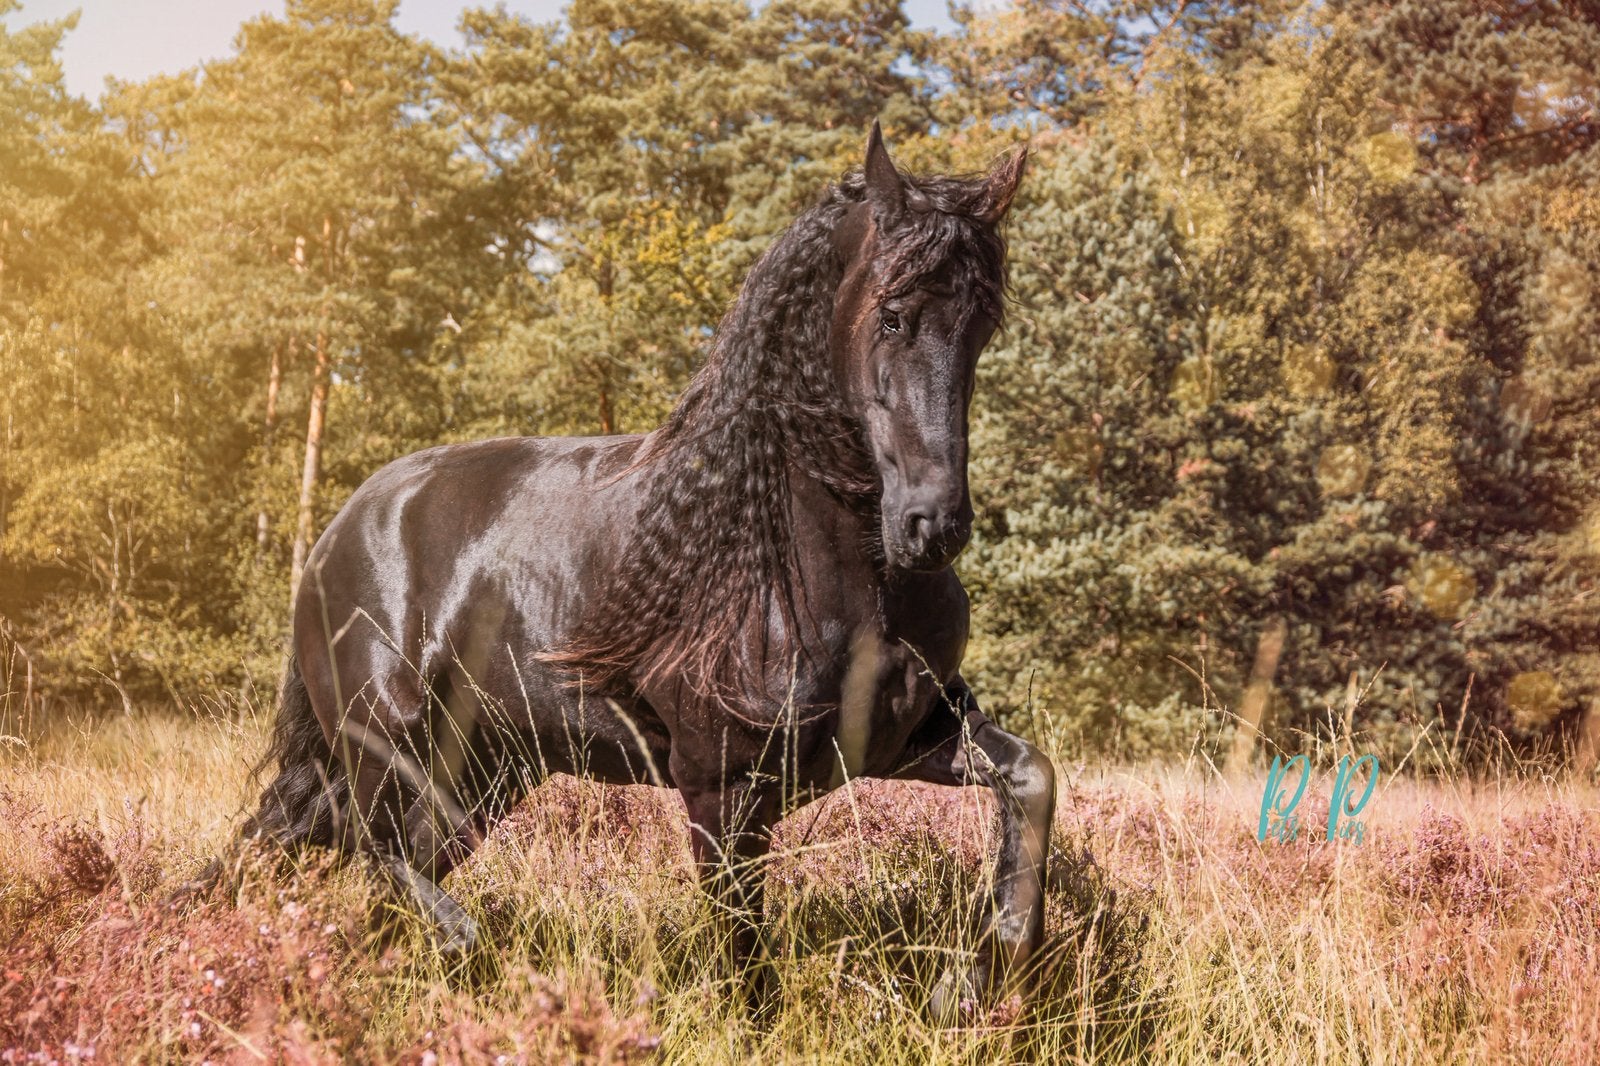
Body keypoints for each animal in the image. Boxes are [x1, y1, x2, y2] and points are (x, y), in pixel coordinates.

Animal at [237, 123, 1055, 1021]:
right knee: (373, 853)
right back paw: (455, 945)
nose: (933, 526)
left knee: (387, 872)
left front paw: (977, 978)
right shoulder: (719, 786)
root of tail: (340, 530)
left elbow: (1031, 781)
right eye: (894, 314)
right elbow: (745, 958)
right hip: (386, 750)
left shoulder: (900, 737)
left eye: (982, 325)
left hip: (483, 776)